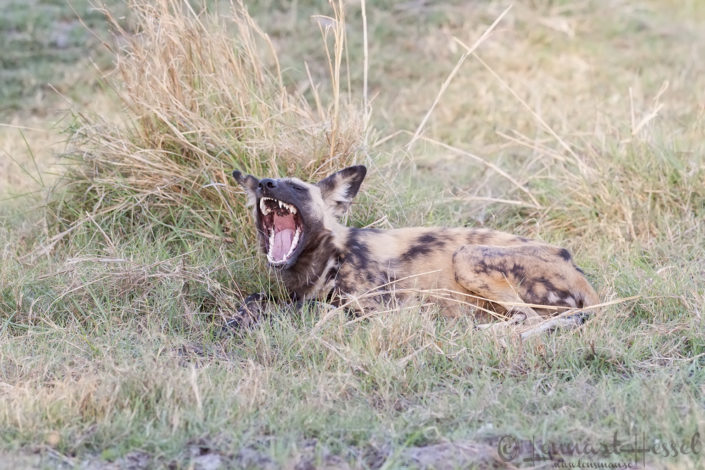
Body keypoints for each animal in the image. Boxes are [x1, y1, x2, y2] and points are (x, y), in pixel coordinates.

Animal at [230, 165, 599, 337]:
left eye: (295, 187)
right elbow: (255, 299)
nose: (264, 184)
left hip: (467, 256)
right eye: (265, 181)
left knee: (529, 319)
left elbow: (313, 312)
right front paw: (238, 321)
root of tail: (575, 267)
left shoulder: (375, 313)